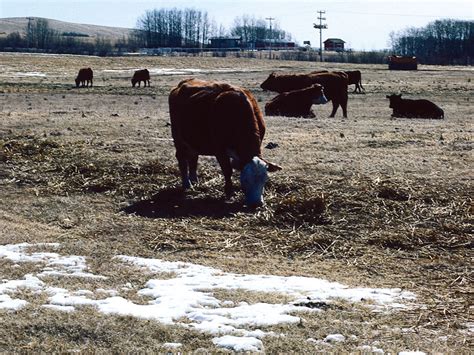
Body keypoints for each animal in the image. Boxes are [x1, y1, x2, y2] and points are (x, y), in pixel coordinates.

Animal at [168, 78, 282, 206]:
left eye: (265, 179)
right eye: (245, 180)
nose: (256, 203)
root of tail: (182, 83)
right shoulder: (219, 150)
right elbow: (227, 171)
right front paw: (229, 193)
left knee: (193, 158)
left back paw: (195, 181)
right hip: (178, 138)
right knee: (182, 159)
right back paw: (187, 184)